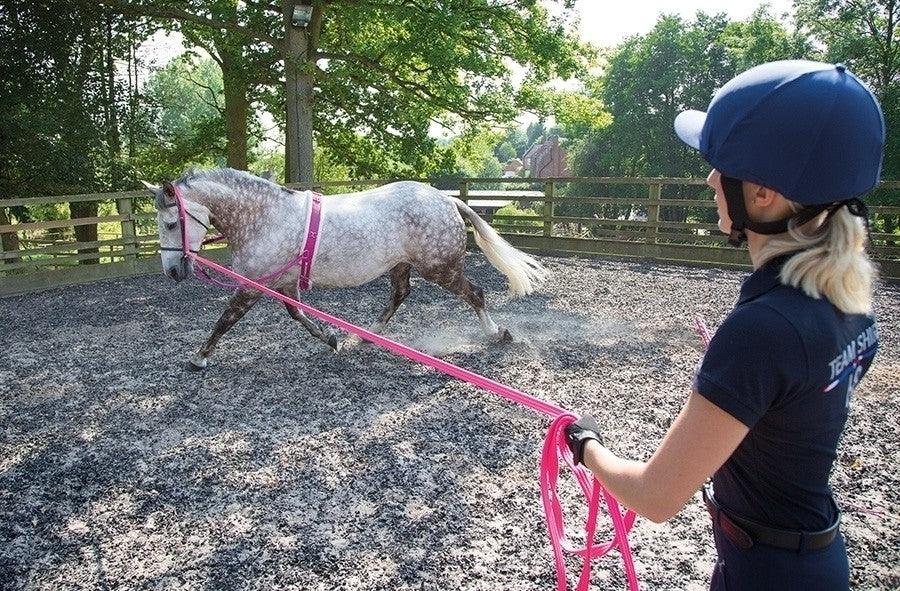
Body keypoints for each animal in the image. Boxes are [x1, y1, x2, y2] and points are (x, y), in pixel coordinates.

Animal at [142, 168, 548, 369]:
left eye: (171, 223)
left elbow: (225, 320)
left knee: (474, 293)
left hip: (439, 267)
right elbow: (298, 315)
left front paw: (199, 358)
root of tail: (447, 199)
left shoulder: (253, 285)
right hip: (401, 265)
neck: (264, 218)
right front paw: (332, 339)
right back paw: (367, 336)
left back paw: (498, 334)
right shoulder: (283, 283)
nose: (173, 272)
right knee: (400, 294)